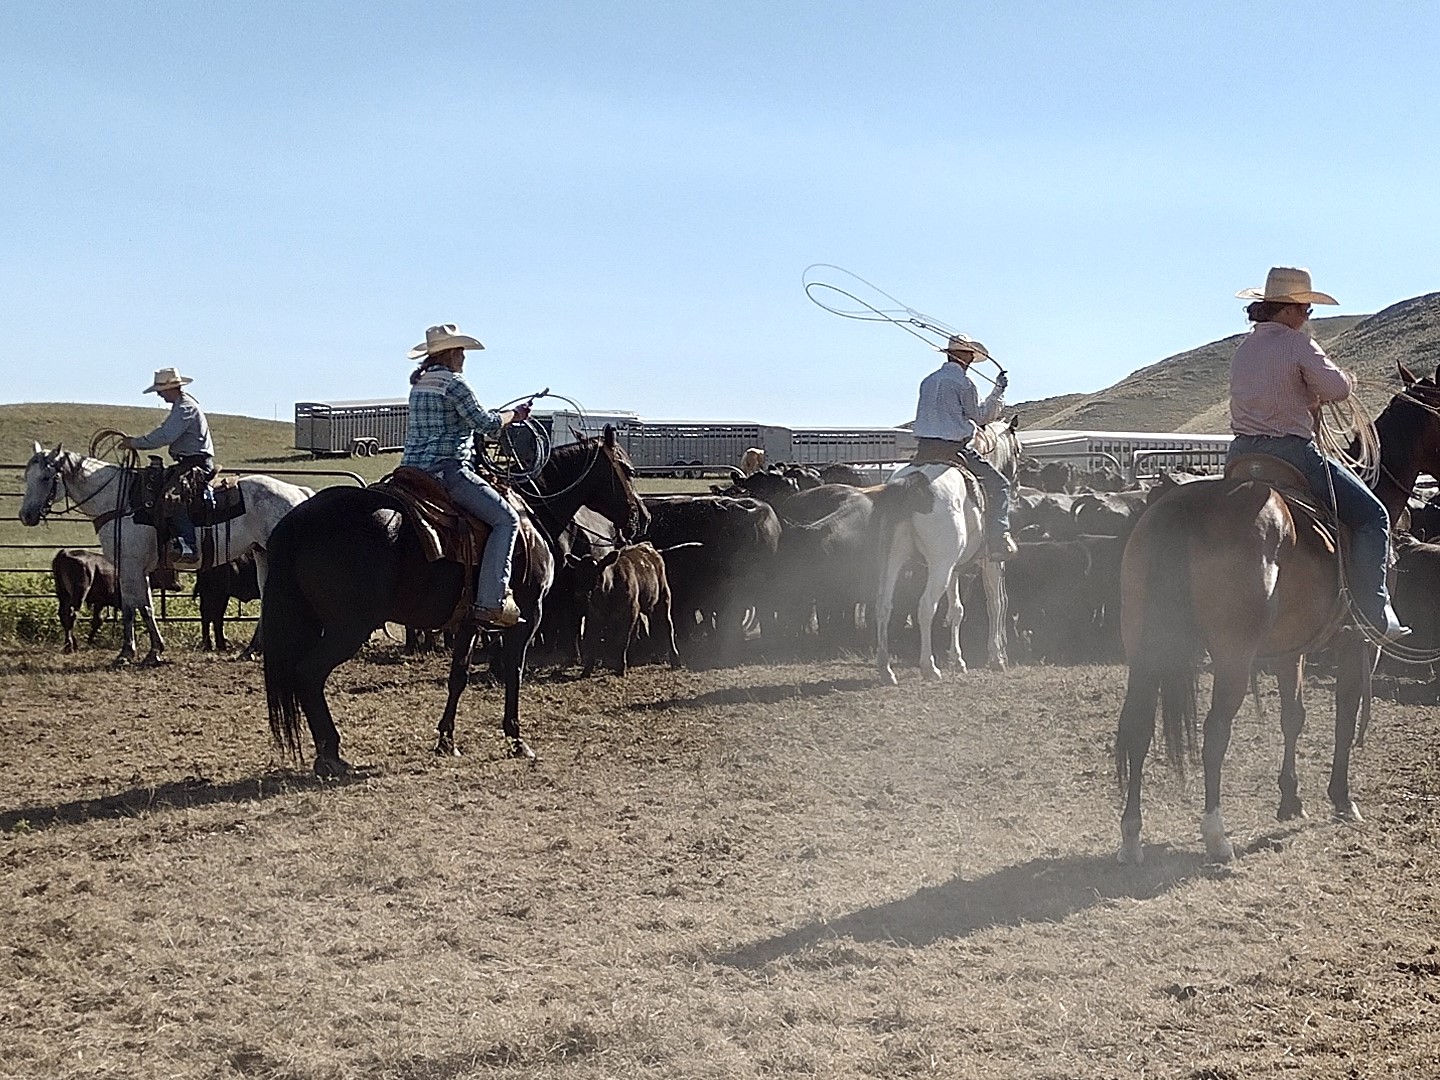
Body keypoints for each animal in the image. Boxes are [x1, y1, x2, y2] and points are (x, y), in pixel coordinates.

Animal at [16, 440, 312, 668]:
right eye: (27, 477)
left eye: (45, 478)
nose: (25, 516)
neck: (118, 501)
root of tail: (299, 492)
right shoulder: (135, 569)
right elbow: (141, 605)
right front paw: (149, 650)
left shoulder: (130, 565)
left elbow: (135, 607)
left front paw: (132, 653)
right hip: (263, 553)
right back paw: (251, 650)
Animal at [260, 426, 648, 771]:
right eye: (628, 471)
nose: (641, 518)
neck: (531, 516)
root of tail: (301, 518)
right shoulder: (528, 616)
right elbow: (514, 671)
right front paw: (516, 739)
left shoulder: (469, 621)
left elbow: (458, 675)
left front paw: (446, 740)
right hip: (349, 628)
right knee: (309, 674)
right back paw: (331, 755)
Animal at [1117, 368, 1440, 869]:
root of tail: (1182, 507)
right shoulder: (1356, 642)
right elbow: (1346, 712)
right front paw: (1342, 798)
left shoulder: (1293, 649)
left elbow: (1295, 716)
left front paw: (1291, 799)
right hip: (1231, 658)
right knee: (1215, 732)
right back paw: (1217, 837)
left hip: (1146, 649)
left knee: (1137, 728)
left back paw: (1132, 837)